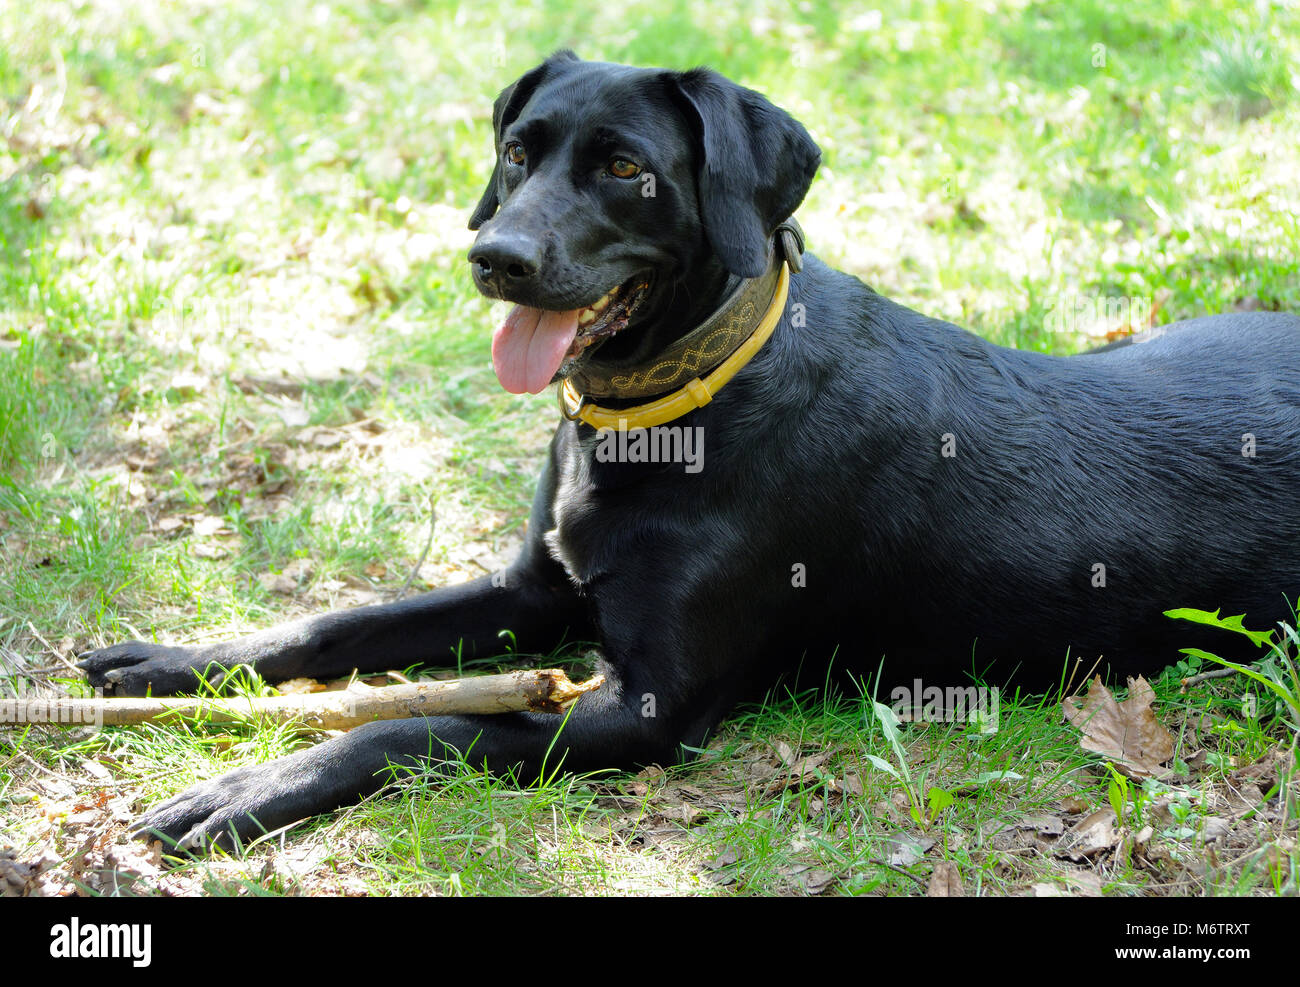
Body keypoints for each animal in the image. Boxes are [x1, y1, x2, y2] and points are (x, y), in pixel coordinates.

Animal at [78, 52, 1300, 847]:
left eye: (627, 170)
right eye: (516, 151)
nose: (495, 257)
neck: (669, 407)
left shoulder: (644, 707)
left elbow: (422, 723)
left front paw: (243, 787)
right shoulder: (534, 590)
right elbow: (339, 623)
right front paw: (176, 664)